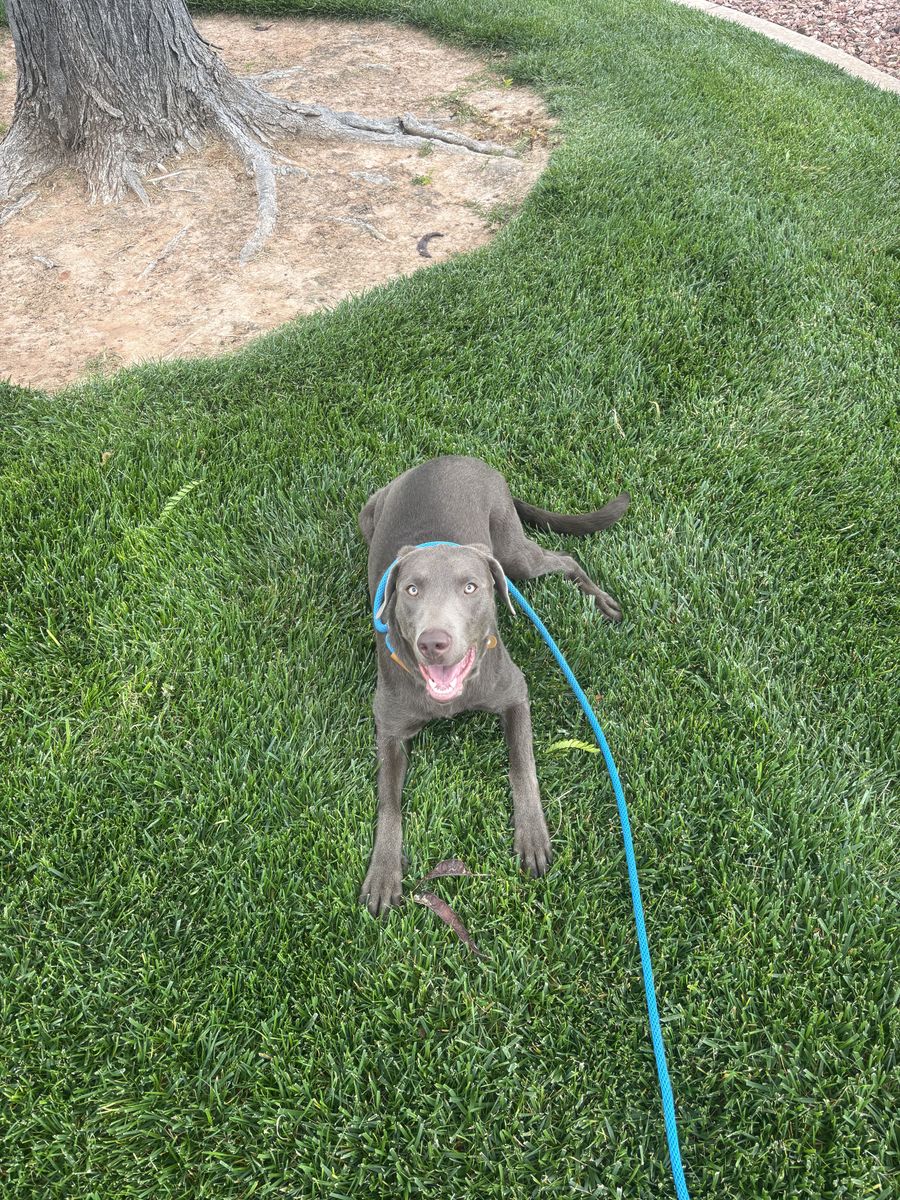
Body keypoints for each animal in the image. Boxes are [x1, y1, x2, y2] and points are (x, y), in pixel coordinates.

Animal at [358, 455, 629, 916]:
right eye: (411, 590)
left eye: (471, 587)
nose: (433, 642)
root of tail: (460, 458)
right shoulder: (390, 731)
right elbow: (388, 803)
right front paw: (383, 871)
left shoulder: (515, 694)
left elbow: (523, 765)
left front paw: (532, 834)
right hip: (370, 514)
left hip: (513, 552)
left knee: (566, 557)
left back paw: (600, 599)